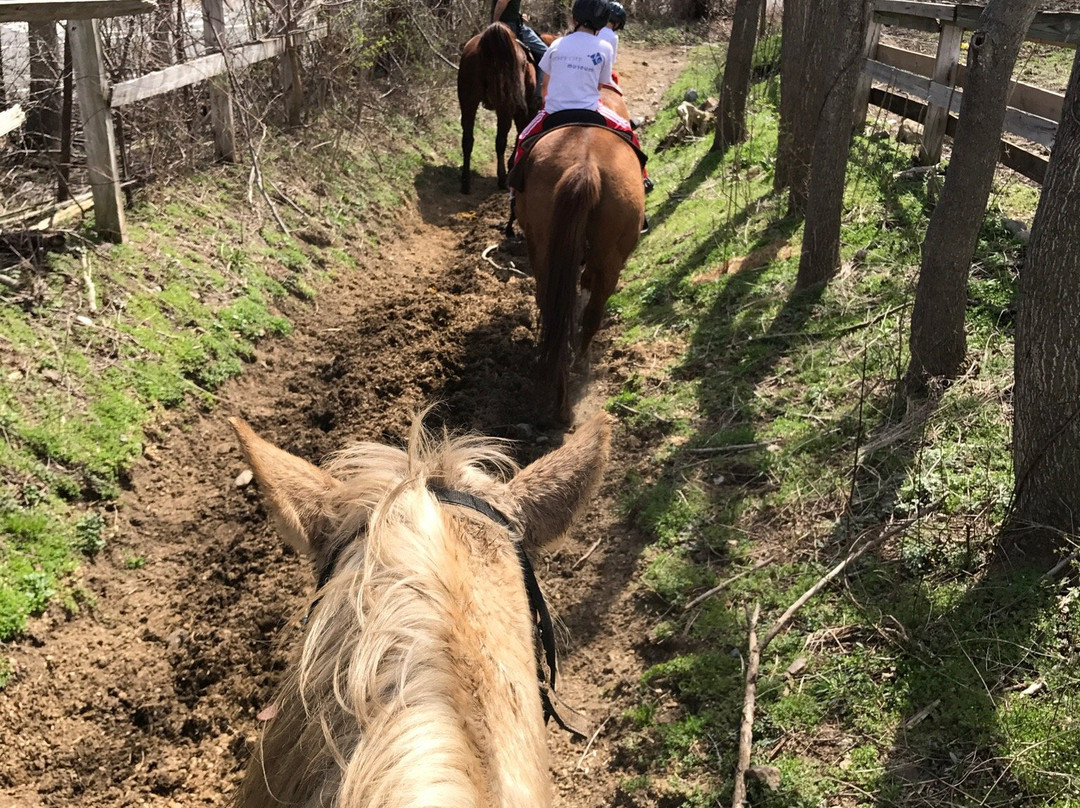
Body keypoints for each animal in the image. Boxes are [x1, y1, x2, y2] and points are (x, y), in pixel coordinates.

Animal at [457, 22, 537, 194]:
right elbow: (521, 134)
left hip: (468, 102)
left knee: (467, 139)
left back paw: (465, 181)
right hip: (505, 106)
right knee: (501, 140)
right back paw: (502, 178)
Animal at [514, 126, 639, 423]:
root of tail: (585, 165)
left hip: (547, 251)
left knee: (556, 312)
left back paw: (560, 399)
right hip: (610, 257)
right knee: (592, 313)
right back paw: (580, 366)